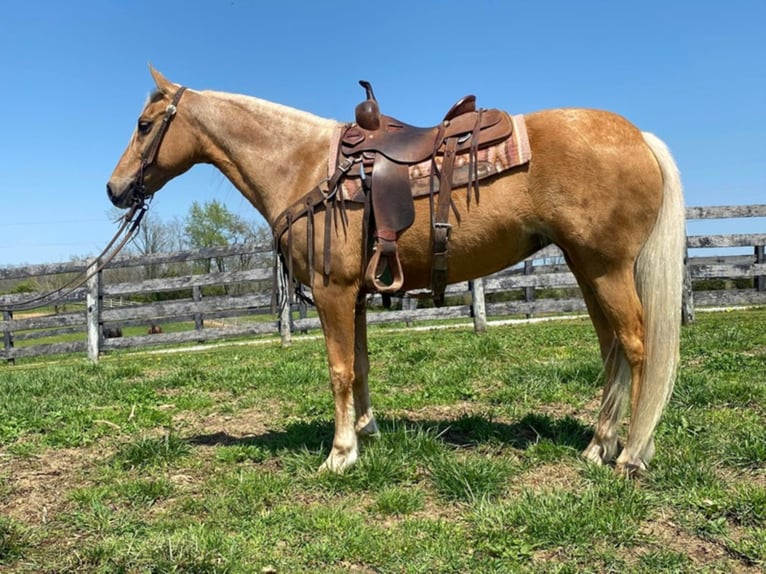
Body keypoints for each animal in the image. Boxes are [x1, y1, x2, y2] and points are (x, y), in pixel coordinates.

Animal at [106, 66, 684, 476]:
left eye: (143, 125)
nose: (114, 189)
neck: (303, 165)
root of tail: (640, 137)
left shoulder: (333, 292)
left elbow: (339, 369)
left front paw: (340, 453)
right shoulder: (356, 295)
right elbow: (360, 365)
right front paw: (368, 431)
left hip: (607, 269)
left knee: (636, 346)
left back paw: (630, 454)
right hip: (588, 269)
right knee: (611, 348)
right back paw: (598, 446)